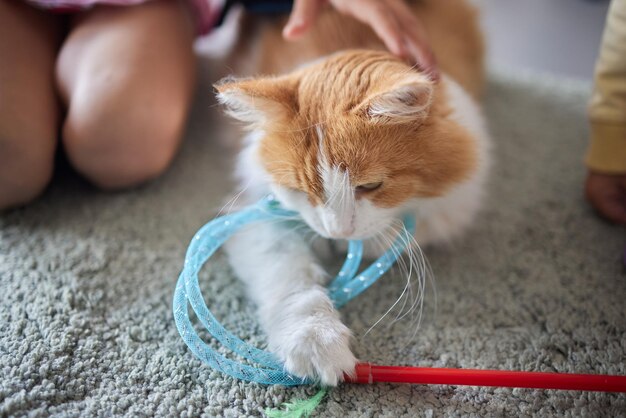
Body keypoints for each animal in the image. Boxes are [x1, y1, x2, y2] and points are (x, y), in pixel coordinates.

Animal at [217, 0, 490, 386]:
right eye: (303, 190)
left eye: (369, 186)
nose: (337, 232)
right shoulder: (257, 217)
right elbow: (294, 283)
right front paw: (317, 342)